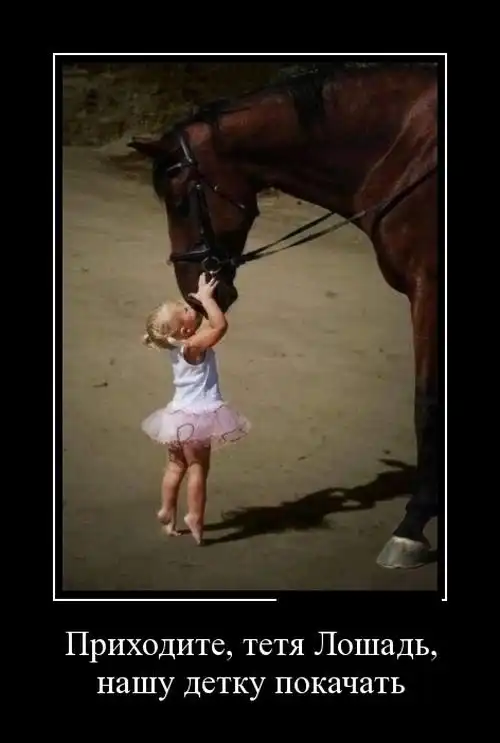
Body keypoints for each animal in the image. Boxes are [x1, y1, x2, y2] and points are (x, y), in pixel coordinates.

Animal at [129, 62, 440, 571]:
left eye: (180, 201)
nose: (193, 294)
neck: (409, 150)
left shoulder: (429, 289)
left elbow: (426, 403)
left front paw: (412, 527)